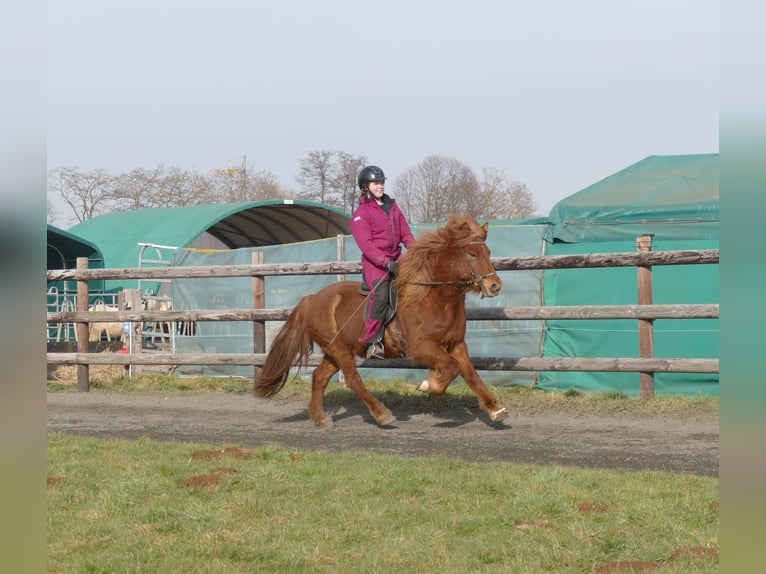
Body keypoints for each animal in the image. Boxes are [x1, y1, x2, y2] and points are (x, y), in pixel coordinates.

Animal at [255, 215, 512, 428]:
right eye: (473, 254)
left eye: (488, 253)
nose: (495, 286)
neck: (434, 298)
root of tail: (311, 299)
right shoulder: (421, 348)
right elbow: (451, 367)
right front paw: (430, 385)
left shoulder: (456, 344)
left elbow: (470, 374)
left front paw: (495, 409)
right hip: (339, 349)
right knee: (352, 379)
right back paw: (382, 414)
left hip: (335, 349)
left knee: (320, 377)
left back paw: (321, 418)